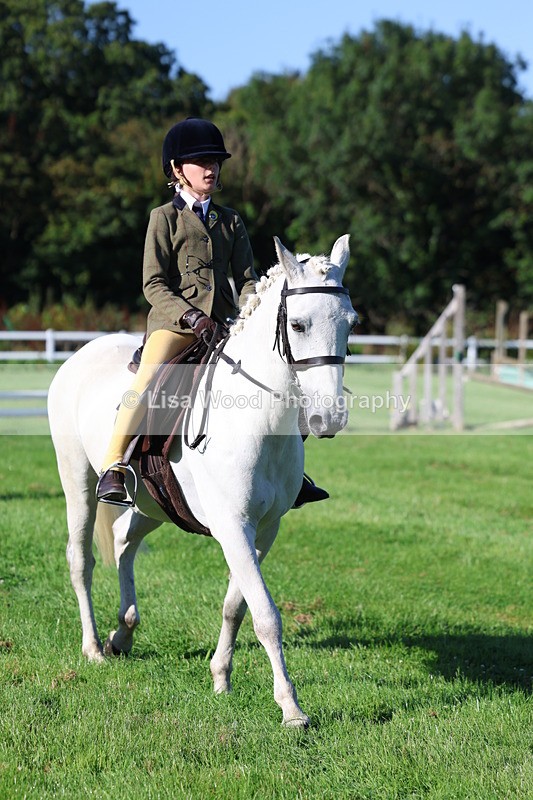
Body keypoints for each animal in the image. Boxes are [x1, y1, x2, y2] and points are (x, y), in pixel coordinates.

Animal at [47, 235, 357, 727]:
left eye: (351, 324)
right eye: (300, 324)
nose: (328, 418)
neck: (258, 421)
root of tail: (81, 354)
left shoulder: (263, 530)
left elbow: (236, 606)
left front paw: (221, 678)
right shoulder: (233, 526)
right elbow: (266, 614)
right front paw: (291, 707)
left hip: (153, 504)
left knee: (123, 542)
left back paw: (123, 634)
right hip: (77, 481)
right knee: (82, 560)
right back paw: (94, 647)